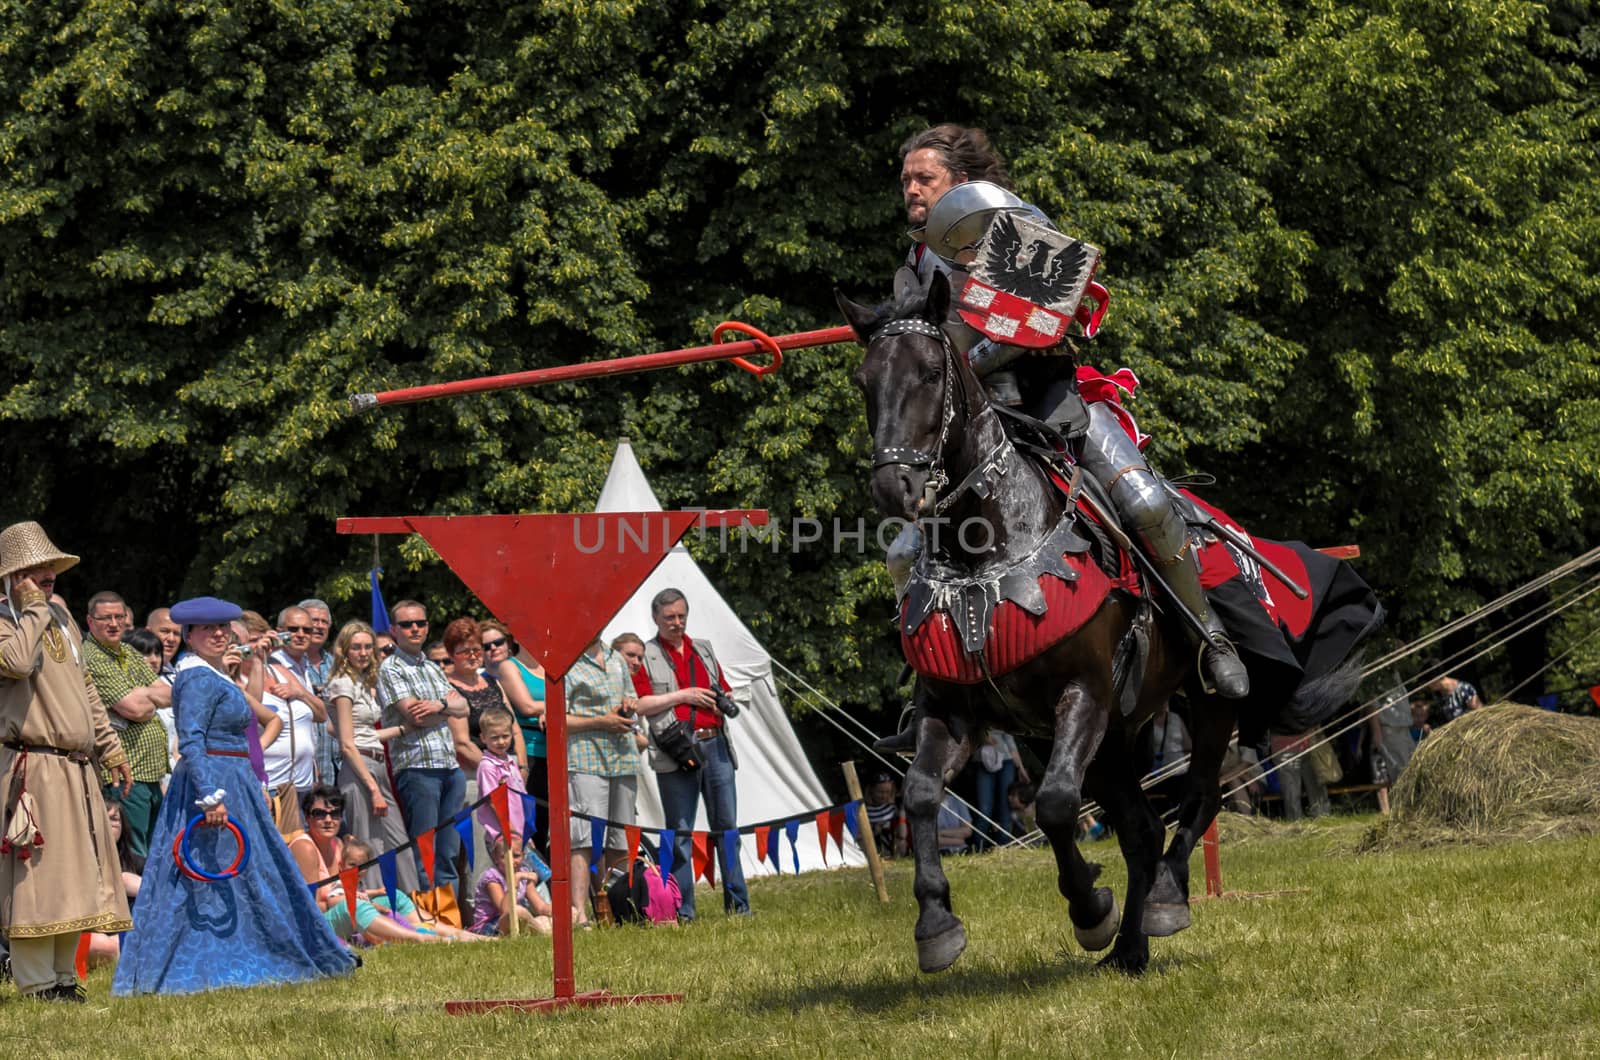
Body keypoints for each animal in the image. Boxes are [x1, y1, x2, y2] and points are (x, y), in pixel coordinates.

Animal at [838, 273, 1376, 979]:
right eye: (866, 382)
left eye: (930, 372)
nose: (895, 488)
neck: (987, 546)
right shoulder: (955, 708)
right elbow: (923, 795)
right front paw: (936, 924)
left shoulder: (1085, 692)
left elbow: (1056, 806)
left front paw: (1090, 909)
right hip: (1113, 735)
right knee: (1143, 828)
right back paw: (1130, 949)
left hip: (1203, 707)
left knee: (1200, 793)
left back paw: (1165, 902)